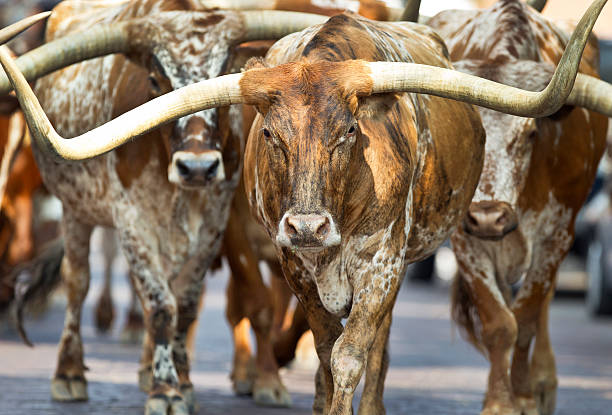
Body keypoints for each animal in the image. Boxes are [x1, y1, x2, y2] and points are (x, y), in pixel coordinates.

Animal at [0, 2, 328, 412]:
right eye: (156, 80)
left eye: (224, 74)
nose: (198, 167)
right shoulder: (133, 222)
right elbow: (160, 307)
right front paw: (164, 390)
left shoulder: (213, 224)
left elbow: (184, 306)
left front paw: (182, 383)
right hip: (75, 210)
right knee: (78, 282)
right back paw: (70, 372)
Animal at [428, 0, 608, 415]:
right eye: (468, 133)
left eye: (530, 133)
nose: (488, 217)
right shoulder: (465, 238)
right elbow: (499, 323)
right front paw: (498, 402)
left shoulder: (557, 237)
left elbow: (525, 320)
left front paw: (524, 397)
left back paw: (541, 384)